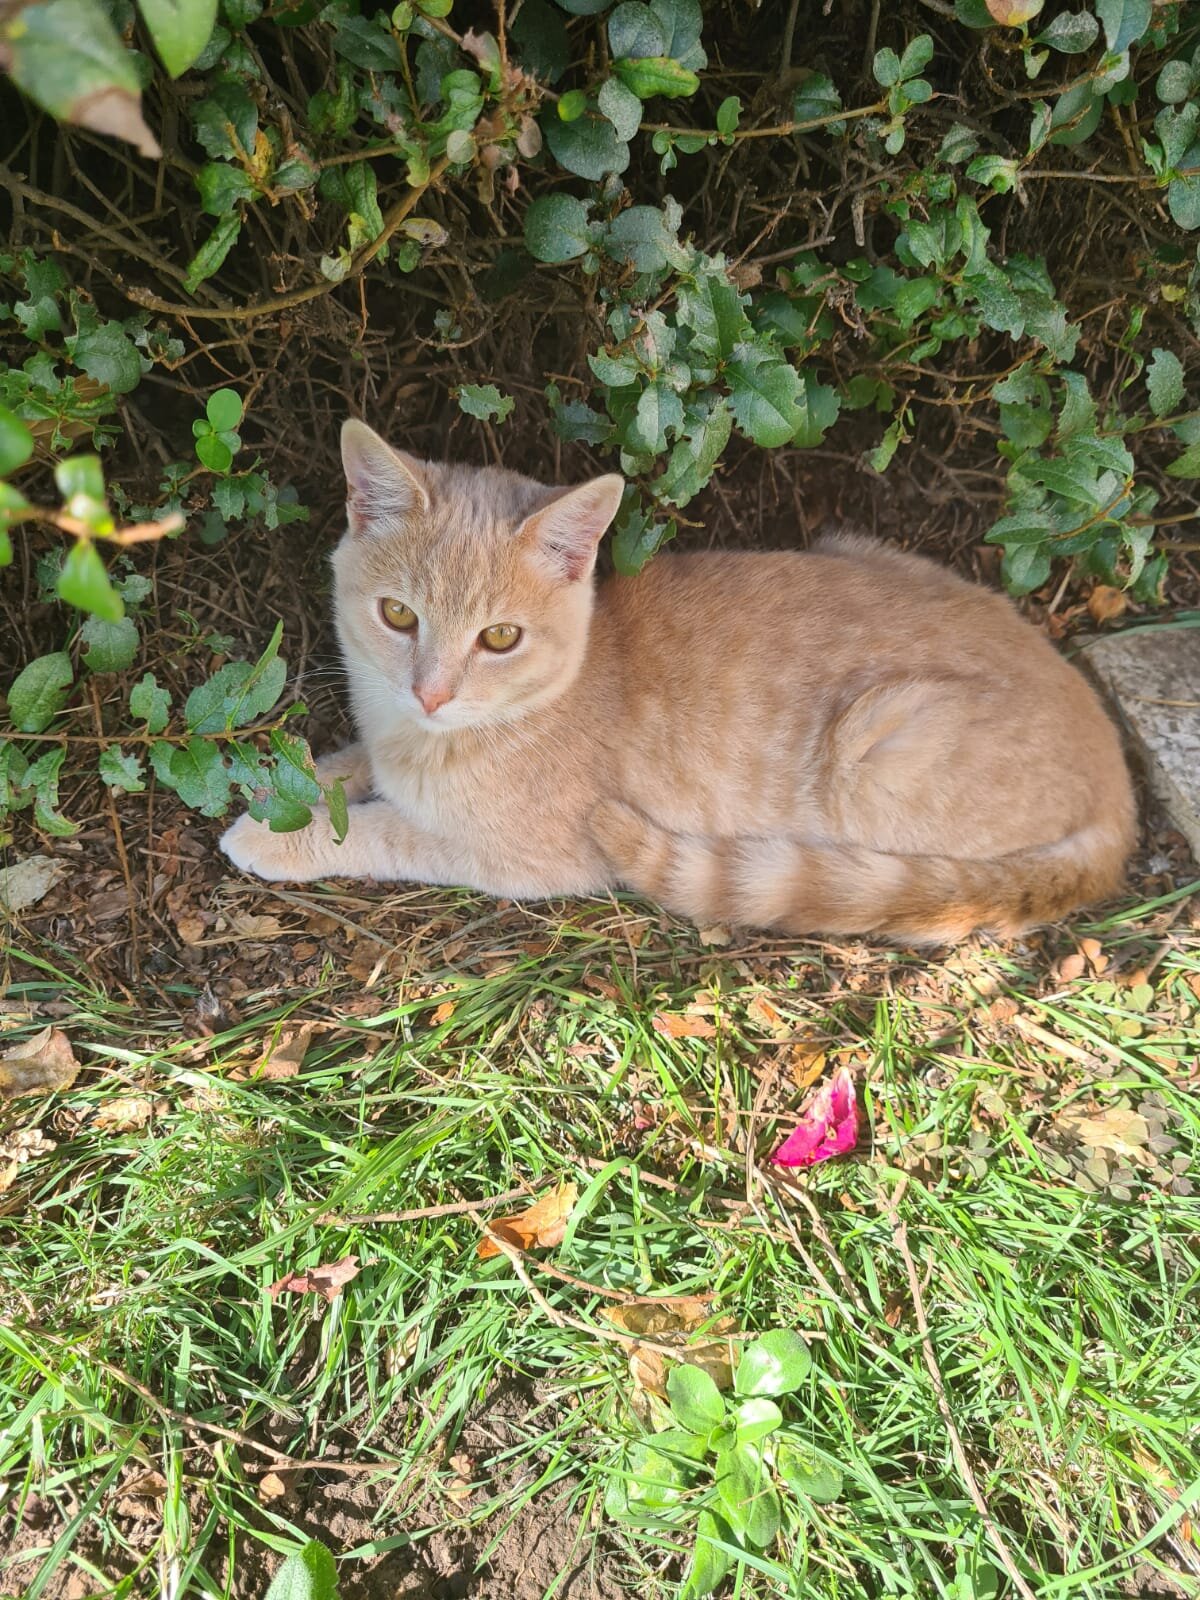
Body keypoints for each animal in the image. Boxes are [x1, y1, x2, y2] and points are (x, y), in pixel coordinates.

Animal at [220, 419, 1139, 940]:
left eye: (500, 637)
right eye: (398, 616)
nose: (431, 693)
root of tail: (1118, 781)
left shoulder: (522, 858)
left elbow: (380, 831)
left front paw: (277, 838)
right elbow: (343, 768)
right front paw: (285, 781)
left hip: (876, 763)